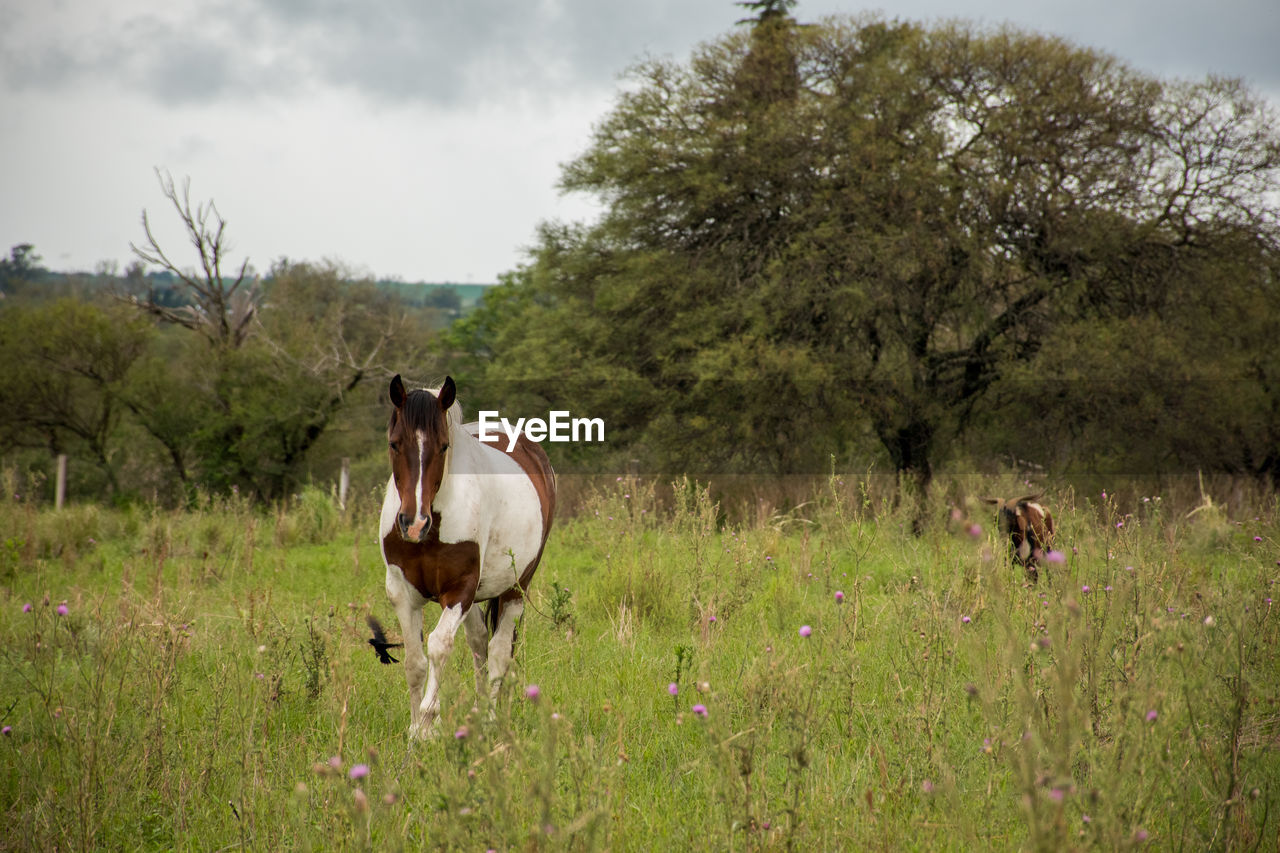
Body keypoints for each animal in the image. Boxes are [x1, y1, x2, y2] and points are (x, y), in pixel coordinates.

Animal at [373, 376, 555, 732]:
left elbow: (439, 646)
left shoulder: (459, 590)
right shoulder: (401, 592)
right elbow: (415, 660)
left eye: (444, 446)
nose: (413, 524)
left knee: (498, 651)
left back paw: (491, 720)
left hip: (515, 588)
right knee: (479, 643)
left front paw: (427, 724)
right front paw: (415, 728)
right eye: (394, 444)